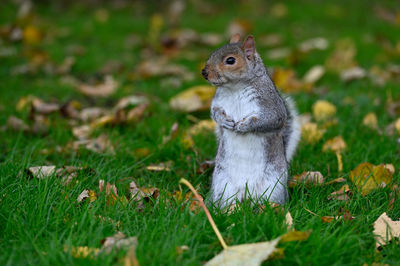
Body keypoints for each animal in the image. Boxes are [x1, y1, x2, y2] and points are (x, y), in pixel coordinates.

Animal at [202, 34, 298, 207]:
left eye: (230, 60)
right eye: (213, 53)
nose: (204, 72)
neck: (235, 88)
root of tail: (246, 194)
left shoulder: (271, 106)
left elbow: (271, 119)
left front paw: (244, 125)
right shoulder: (218, 102)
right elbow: (215, 112)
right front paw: (224, 121)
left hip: (274, 186)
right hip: (223, 185)